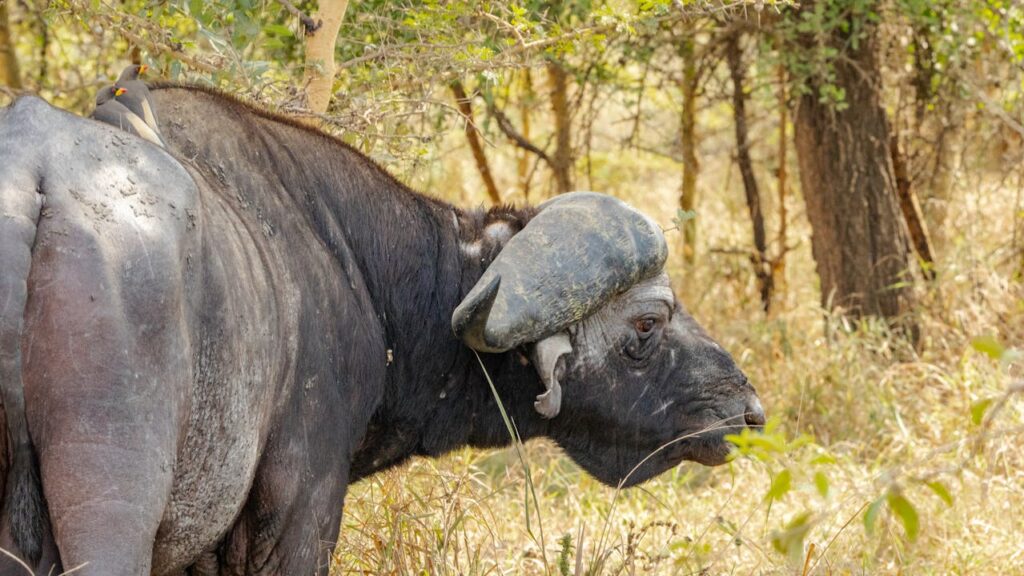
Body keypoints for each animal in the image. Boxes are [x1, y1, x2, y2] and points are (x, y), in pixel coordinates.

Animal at [0, 86, 764, 575]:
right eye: (649, 321)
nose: (748, 408)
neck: (362, 272)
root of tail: (37, 181)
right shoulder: (298, 515)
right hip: (111, 525)